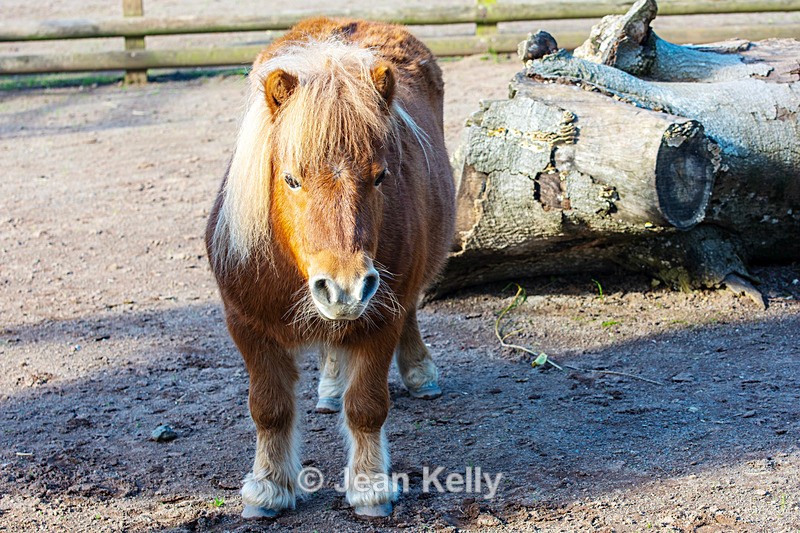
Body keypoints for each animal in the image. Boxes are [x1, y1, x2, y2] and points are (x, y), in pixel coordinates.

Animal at [205, 18, 455, 518]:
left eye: (380, 176)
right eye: (291, 178)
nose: (345, 289)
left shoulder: (381, 317)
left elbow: (367, 406)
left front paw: (371, 488)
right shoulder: (246, 325)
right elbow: (269, 408)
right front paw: (268, 488)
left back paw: (420, 374)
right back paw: (331, 387)